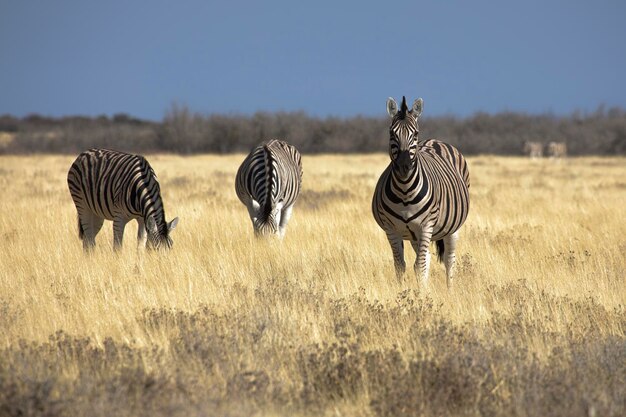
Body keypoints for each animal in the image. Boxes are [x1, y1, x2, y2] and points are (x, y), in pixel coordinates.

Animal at [370, 96, 468, 288]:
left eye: (415, 133)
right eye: (391, 133)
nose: (404, 166)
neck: (405, 192)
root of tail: (434, 140)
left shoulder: (426, 226)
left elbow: (420, 266)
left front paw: (421, 294)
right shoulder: (391, 229)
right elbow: (400, 265)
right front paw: (403, 292)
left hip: (452, 228)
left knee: (449, 260)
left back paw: (450, 290)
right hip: (414, 235)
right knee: (427, 257)